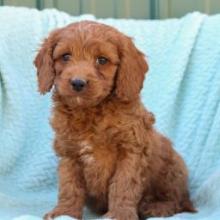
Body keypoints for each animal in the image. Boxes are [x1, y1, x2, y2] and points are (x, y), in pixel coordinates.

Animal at [34, 21, 196, 220]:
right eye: (65, 56)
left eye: (102, 60)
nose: (78, 83)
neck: (90, 112)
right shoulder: (69, 153)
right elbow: (69, 185)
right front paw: (65, 212)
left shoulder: (131, 150)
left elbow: (123, 184)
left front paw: (119, 214)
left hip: (172, 167)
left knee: (177, 200)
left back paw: (157, 207)